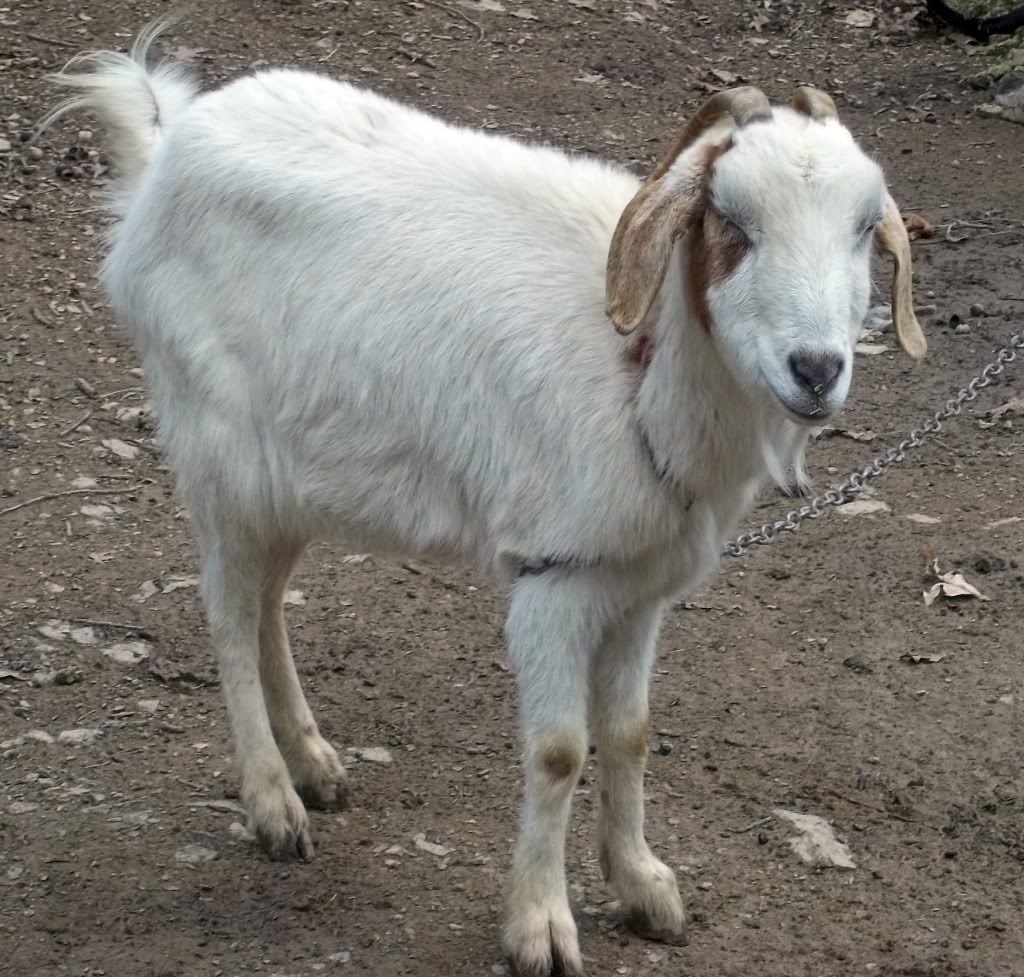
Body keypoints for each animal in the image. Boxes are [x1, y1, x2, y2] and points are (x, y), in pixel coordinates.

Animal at [43, 23, 926, 976]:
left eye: (865, 229)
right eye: (732, 222)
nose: (817, 369)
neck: (643, 363)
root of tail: (166, 152)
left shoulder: (639, 582)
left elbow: (630, 732)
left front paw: (643, 885)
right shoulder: (555, 571)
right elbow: (559, 751)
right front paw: (540, 923)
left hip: (297, 470)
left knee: (268, 601)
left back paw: (315, 762)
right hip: (217, 447)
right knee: (228, 615)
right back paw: (274, 802)